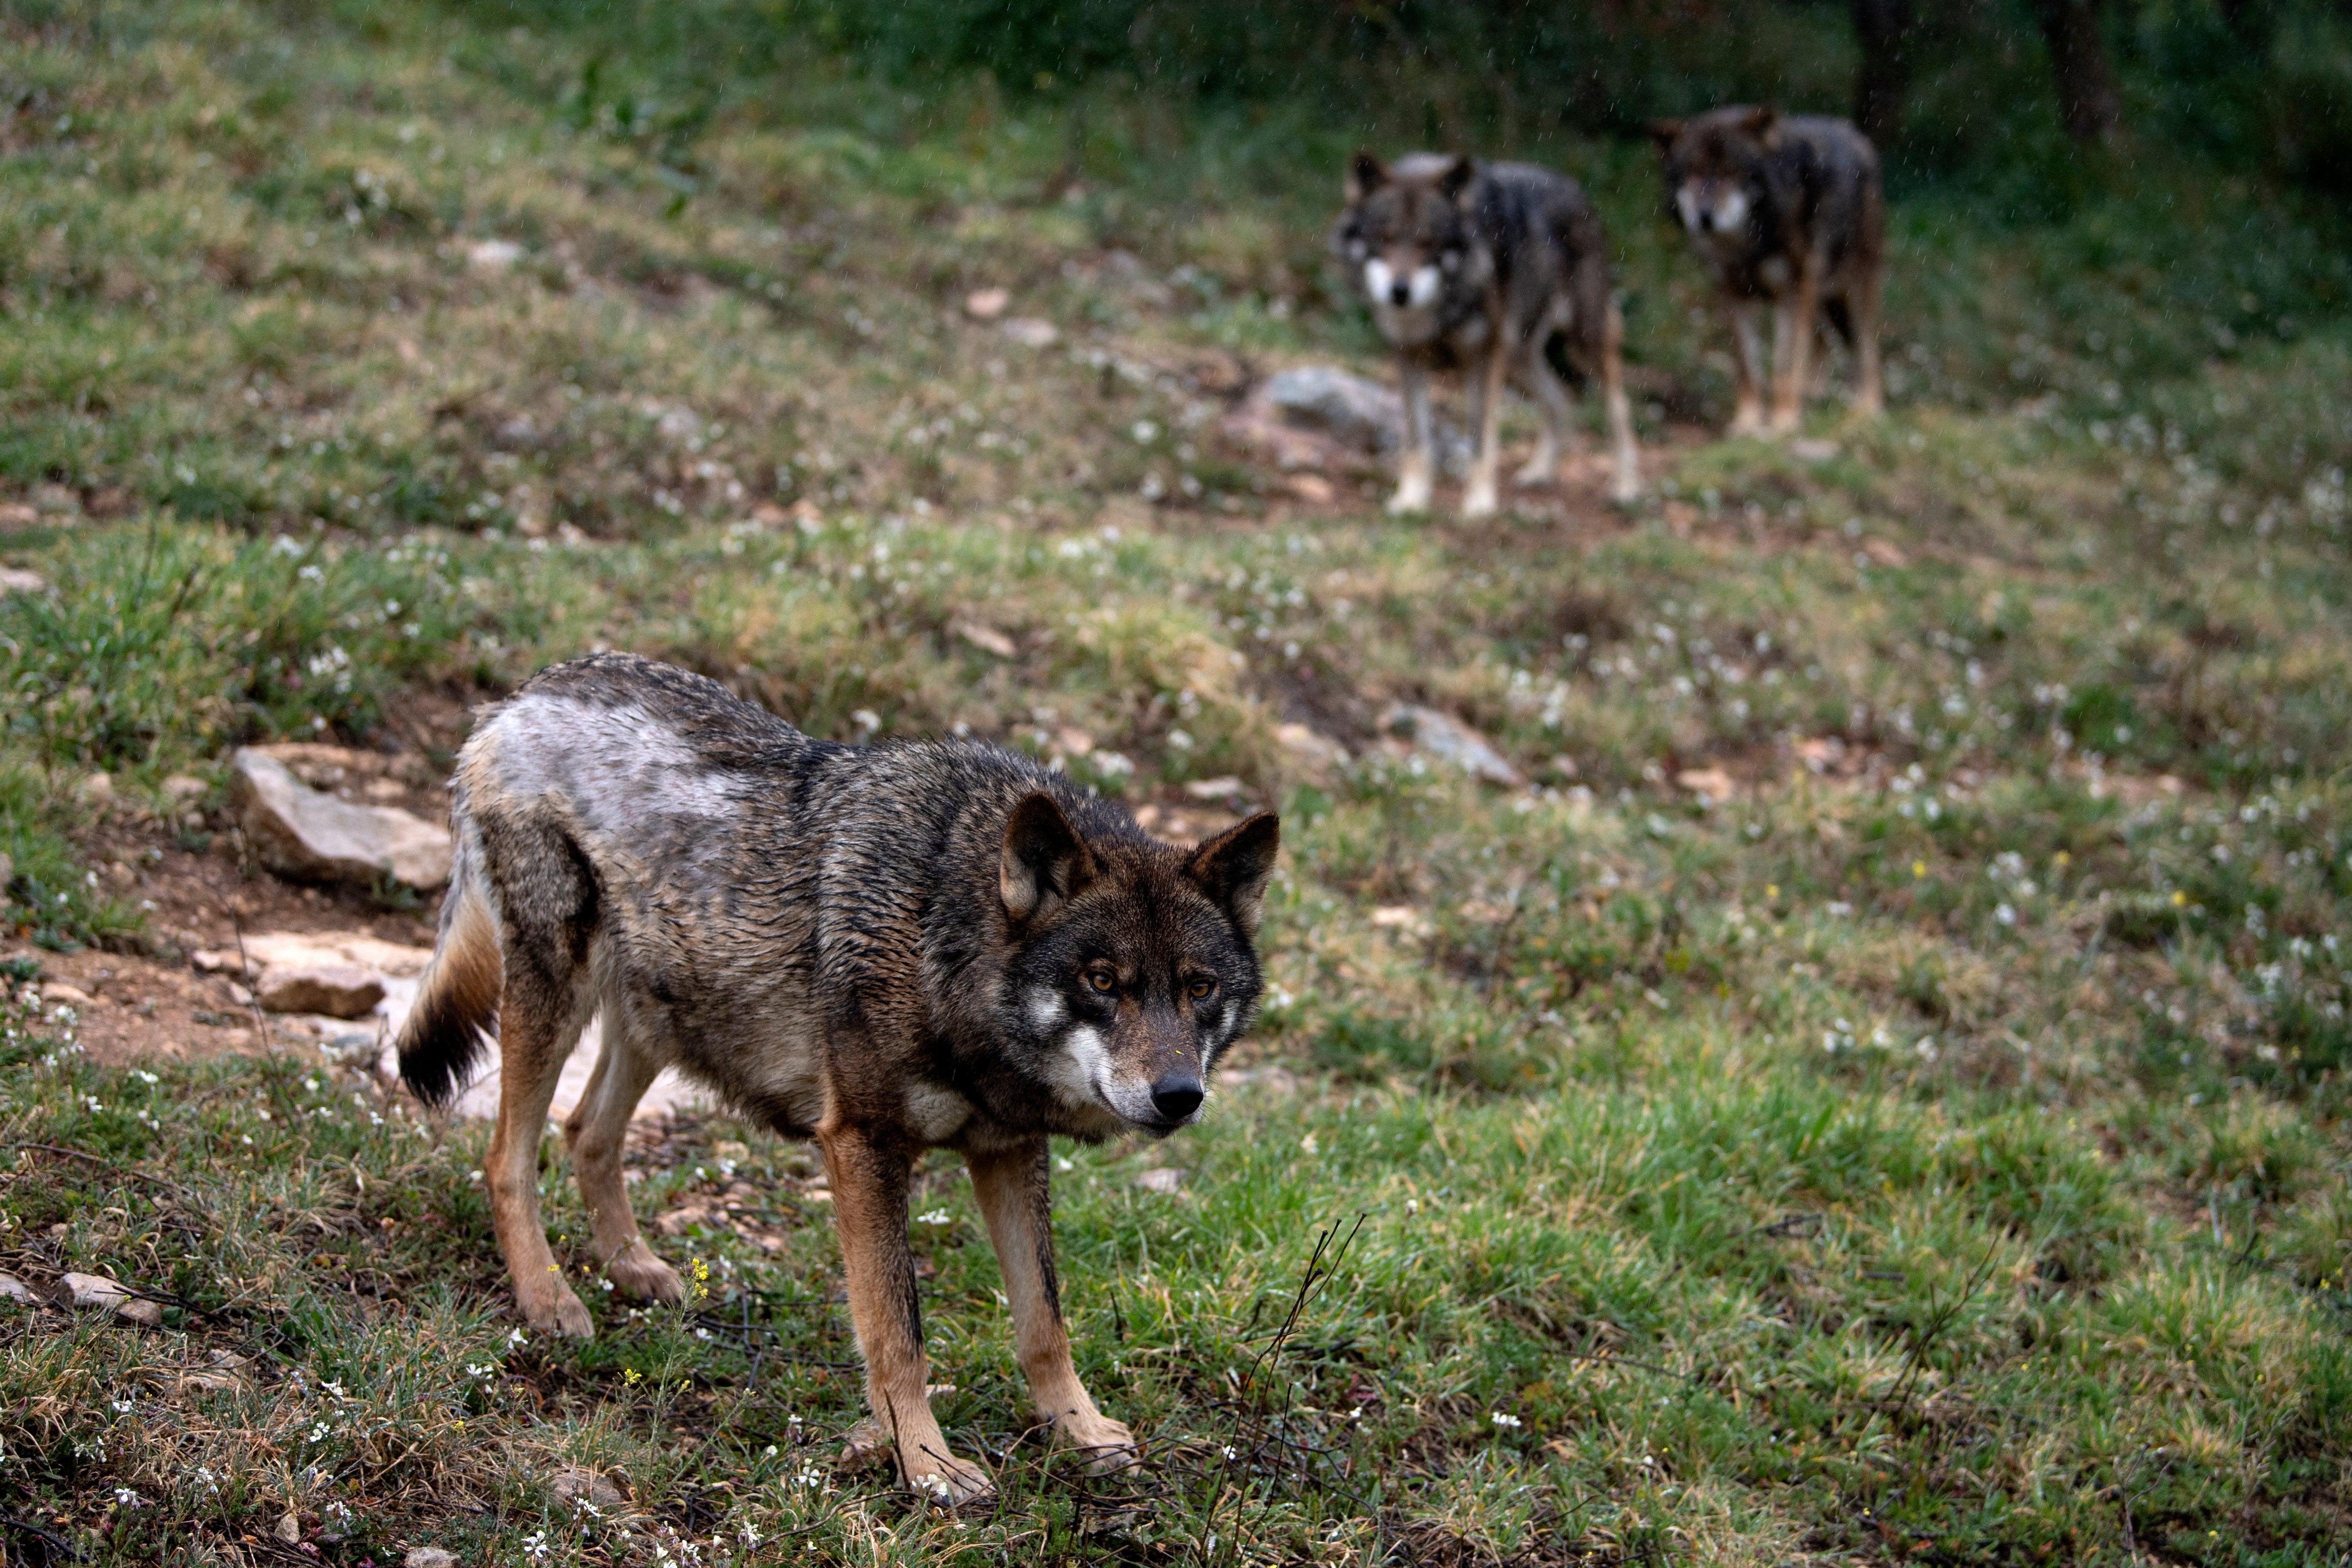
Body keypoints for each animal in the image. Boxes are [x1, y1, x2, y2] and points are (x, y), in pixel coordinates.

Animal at [394, 653, 1279, 1505]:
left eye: (1199, 989)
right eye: (1102, 981)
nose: (1179, 1096)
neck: (939, 933)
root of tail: (526, 692)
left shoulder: (1009, 1151)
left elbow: (1044, 1322)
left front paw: (1082, 1433)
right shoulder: (862, 1146)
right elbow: (898, 1332)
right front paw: (928, 1466)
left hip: (662, 1018)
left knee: (586, 1133)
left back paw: (633, 1268)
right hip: (557, 994)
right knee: (507, 1157)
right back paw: (549, 1301)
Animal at [1331, 151, 1639, 515]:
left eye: (1428, 243)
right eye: (1385, 239)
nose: (1400, 292)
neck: (1440, 303)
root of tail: (1576, 188)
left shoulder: (1484, 356)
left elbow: (1480, 437)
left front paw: (1479, 504)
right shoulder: (1408, 356)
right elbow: (1417, 439)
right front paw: (1410, 500)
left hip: (1580, 344)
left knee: (1619, 408)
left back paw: (1627, 488)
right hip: (1519, 356)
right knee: (1561, 402)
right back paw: (1540, 472)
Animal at [1649, 108, 1886, 436]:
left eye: (1730, 174)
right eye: (1694, 174)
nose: (1705, 217)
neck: (1744, 249)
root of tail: (1856, 134)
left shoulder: (1792, 293)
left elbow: (1784, 367)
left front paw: (1784, 424)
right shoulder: (1731, 296)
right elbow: (1747, 369)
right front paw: (1747, 425)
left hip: (1853, 287)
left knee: (1867, 349)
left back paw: (1868, 411)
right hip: (1821, 295)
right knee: (1822, 340)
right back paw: (1815, 397)